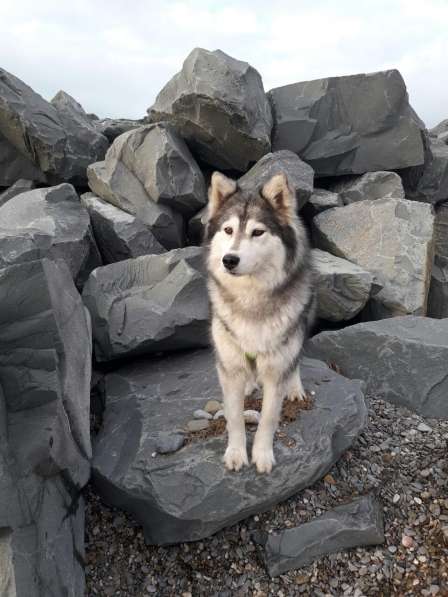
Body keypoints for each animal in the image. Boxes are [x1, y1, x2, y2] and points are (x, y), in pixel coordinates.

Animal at [204, 170, 316, 472]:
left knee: (296, 359)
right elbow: (234, 417)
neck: (250, 299)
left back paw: (295, 386)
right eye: (228, 230)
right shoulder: (229, 367)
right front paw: (236, 453)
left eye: (257, 232)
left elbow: (268, 418)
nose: (229, 260)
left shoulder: (276, 368)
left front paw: (262, 455)